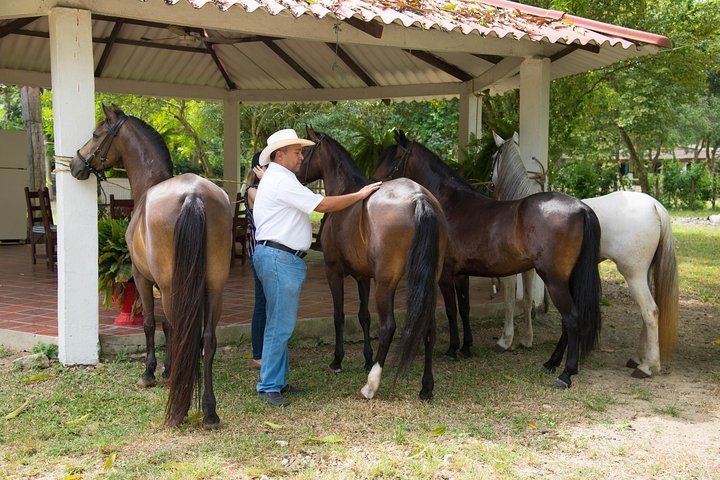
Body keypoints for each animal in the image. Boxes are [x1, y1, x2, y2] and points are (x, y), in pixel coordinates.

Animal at [70, 105, 231, 428]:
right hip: (214, 287)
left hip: (170, 288)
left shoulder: (142, 277)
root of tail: (194, 195)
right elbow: (169, 326)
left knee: (182, 331)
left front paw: (151, 373)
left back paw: (180, 407)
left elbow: (150, 324)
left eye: (96, 134)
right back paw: (209, 410)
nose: (75, 164)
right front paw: (169, 371)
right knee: (207, 340)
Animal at [298, 125, 444, 400]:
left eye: (304, 151)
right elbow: (363, 315)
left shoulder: (334, 271)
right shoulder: (363, 276)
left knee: (388, 326)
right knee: (428, 327)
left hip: (385, 284)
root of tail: (419, 198)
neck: (345, 192)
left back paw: (370, 385)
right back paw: (426, 387)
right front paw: (366, 358)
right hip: (428, 282)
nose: (296, 175)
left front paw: (337, 360)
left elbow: (339, 316)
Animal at [374, 131, 604, 390]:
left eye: (393, 159)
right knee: (569, 321)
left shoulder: (445, 274)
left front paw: (452, 349)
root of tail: (581, 208)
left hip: (554, 280)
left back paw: (566, 373)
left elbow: (451, 311)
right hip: (569, 279)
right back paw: (551, 363)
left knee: (571, 318)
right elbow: (464, 309)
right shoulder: (461, 274)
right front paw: (466, 347)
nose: (374, 184)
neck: (449, 203)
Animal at [490, 132, 676, 378]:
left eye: (493, 157)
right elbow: (527, 300)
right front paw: (526, 340)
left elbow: (510, 302)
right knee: (646, 315)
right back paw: (638, 358)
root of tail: (654, 205)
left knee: (650, 311)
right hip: (643, 274)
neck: (521, 212)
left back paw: (647, 366)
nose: (490, 185)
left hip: (633, 274)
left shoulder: (511, 272)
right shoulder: (528, 269)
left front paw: (505, 340)